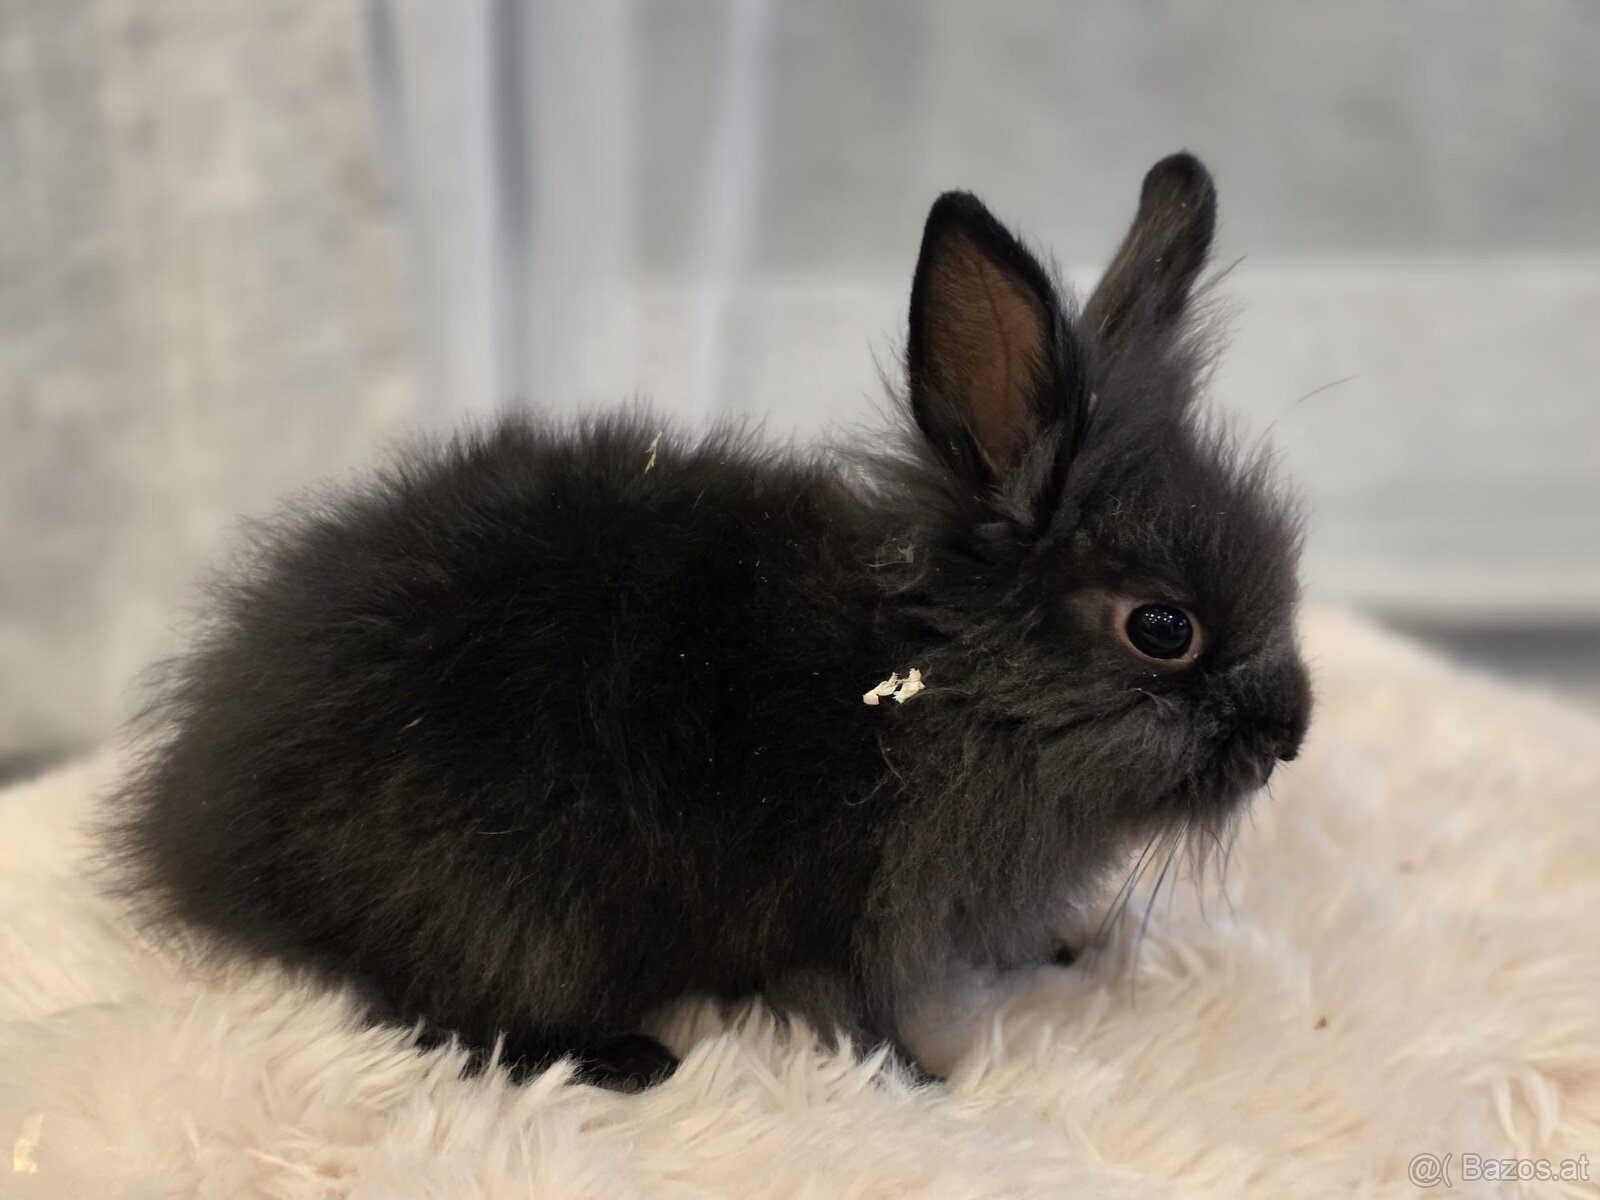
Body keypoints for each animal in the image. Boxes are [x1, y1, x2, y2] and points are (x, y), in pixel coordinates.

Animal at [109, 152, 1311, 1091]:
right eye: (1163, 629)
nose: (1291, 732)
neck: (942, 681)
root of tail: (196, 828)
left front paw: (1063, 948)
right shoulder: (850, 911)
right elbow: (856, 1013)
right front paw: (930, 1082)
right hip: (513, 914)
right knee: (427, 1014)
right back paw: (622, 1061)